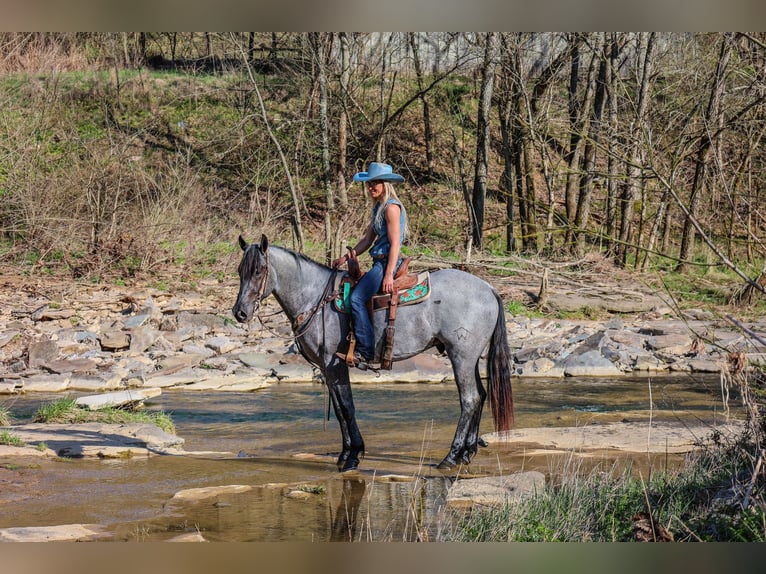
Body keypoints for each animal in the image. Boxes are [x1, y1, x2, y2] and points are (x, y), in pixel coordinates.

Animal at [231, 235, 512, 472]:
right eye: (240, 270)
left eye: (259, 270)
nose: (240, 312)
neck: (315, 298)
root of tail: (489, 288)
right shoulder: (327, 369)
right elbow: (340, 409)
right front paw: (346, 454)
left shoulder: (335, 364)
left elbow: (347, 407)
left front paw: (353, 457)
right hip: (470, 358)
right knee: (481, 395)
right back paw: (467, 452)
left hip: (461, 356)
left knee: (470, 399)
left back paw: (451, 457)